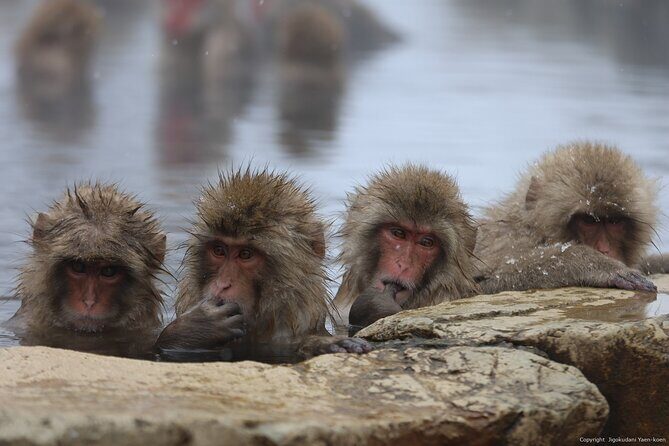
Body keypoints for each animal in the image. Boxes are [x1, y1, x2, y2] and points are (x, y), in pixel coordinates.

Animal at [474, 141, 660, 294]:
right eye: (589, 221)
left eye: (614, 221)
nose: (604, 250)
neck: (532, 230)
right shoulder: (506, 241)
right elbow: (484, 282)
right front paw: (597, 265)